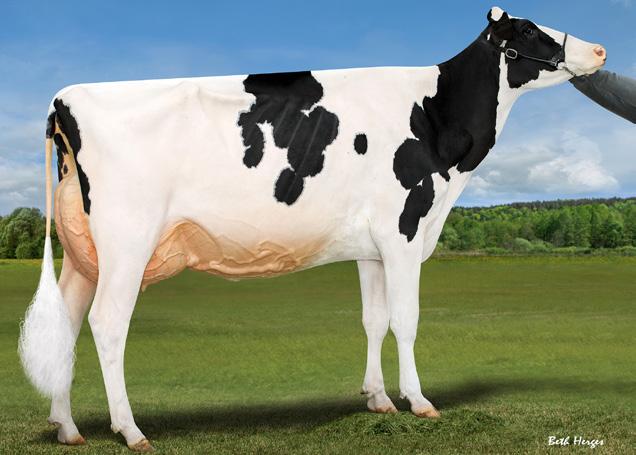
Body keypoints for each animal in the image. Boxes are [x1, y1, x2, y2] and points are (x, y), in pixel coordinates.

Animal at [18, 7, 606, 452]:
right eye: (530, 31)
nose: (600, 50)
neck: (436, 119)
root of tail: (64, 99)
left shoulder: (371, 247)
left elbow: (374, 320)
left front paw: (378, 399)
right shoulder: (404, 229)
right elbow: (407, 321)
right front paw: (418, 402)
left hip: (84, 253)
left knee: (67, 322)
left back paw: (68, 428)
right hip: (127, 241)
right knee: (107, 324)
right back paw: (130, 430)